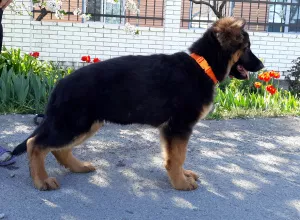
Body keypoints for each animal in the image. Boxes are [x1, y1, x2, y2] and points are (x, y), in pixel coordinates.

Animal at [12, 17, 264, 191]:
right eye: (247, 47)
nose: (262, 66)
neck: (202, 65)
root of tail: (59, 84)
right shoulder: (178, 127)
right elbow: (177, 156)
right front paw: (181, 183)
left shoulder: (173, 129)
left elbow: (176, 156)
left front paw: (182, 176)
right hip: (74, 124)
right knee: (35, 144)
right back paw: (42, 181)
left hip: (85, 125)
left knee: (59, 149)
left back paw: (78, 167)